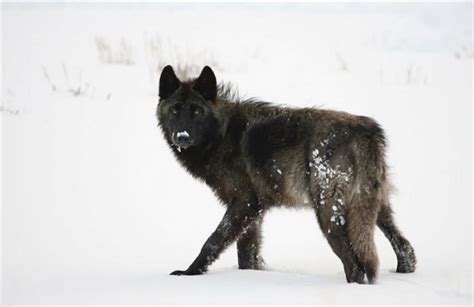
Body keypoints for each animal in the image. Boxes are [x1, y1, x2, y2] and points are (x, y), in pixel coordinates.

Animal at [156, 66, 414, 286]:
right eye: (175, 111)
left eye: (197, 112)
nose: (182, 136)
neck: (222, 134)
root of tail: (366, 131)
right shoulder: (255, 213)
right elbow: (246, 254)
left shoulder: (244, 204)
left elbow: (213, 241)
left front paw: (189, 273)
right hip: (374, 208)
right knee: (405, 247)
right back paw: (403, 270)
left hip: (328, 214)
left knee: (356, 265)